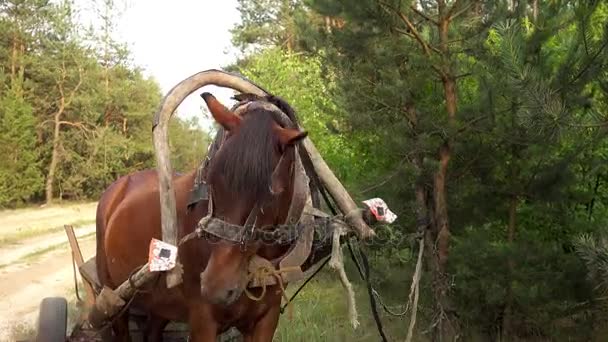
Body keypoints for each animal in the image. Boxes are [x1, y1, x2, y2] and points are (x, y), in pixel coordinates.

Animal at [99, 71, 312, 340]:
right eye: (211, 178)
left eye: (272, 192)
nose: (215, 287)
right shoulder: (203, 319)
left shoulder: (267, 316)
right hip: (113, 296)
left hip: (158, 304)